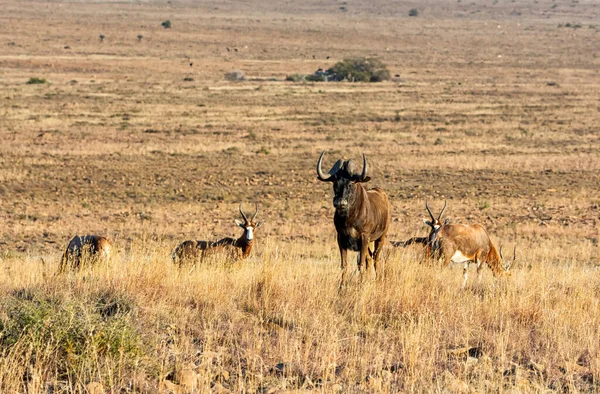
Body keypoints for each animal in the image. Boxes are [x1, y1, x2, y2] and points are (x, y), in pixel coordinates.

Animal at [316, 151, 392, 286]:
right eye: (335, 183)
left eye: (351, 183)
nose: (340, 203)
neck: (349, 219)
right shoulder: (341, 238)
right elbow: (344, 265)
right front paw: (342, 286)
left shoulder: (364, 237)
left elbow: (361, 264)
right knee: (369, 259)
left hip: (381, 238)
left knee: (376, 259)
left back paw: (378, 280)